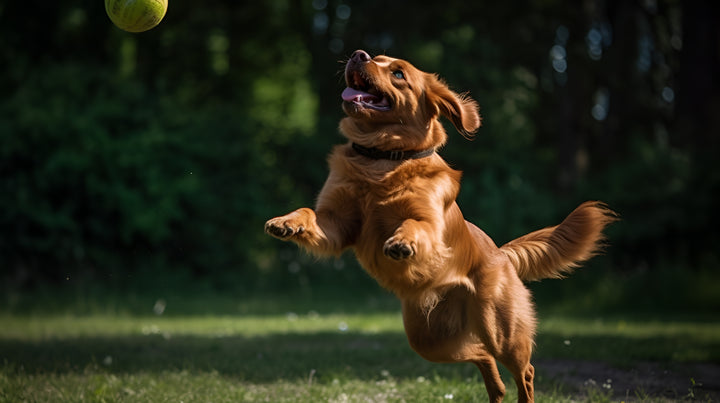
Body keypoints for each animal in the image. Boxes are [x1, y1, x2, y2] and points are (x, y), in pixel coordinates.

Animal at [268, 50, 616, 403]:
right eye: (374, 57)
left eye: (398, 73)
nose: (358, 55)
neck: (381, 159)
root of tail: (501, 254)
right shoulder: (337, 224)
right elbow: (310, 212)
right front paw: (286, 222)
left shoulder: (430, 224)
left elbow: (413, 223)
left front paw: (401, 242)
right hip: (429, 340)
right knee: (481, 354)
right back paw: (495, 391)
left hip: (501, 331)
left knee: (525, 371)